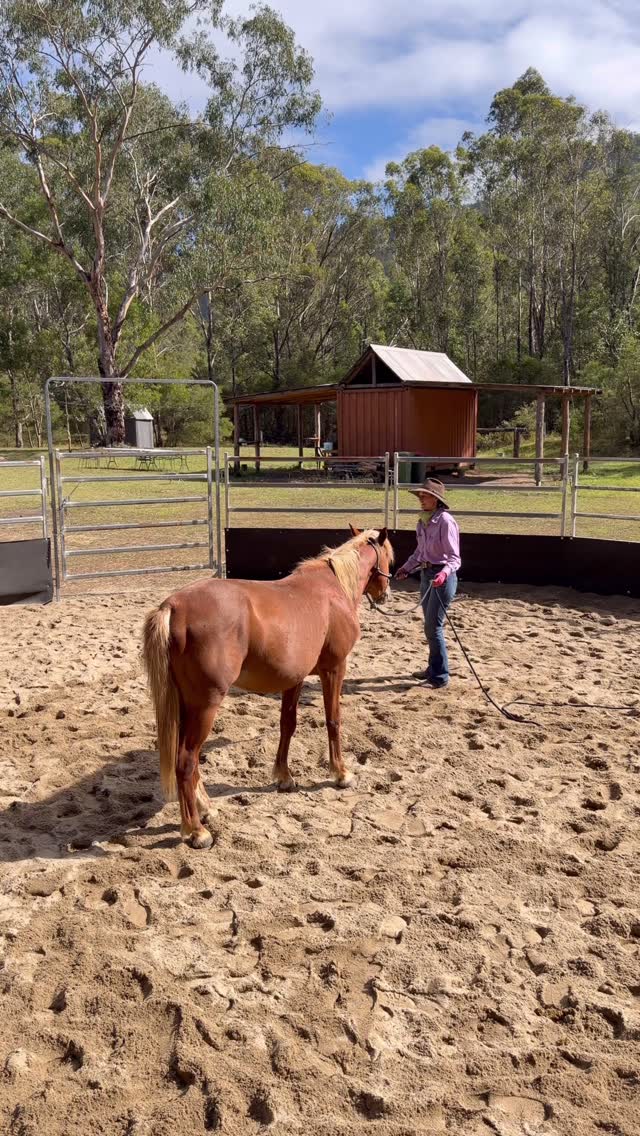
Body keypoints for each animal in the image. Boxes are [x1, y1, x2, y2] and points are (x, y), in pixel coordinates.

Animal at [142, 526, 394, 848]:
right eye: (389, 556)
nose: (385, 593)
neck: (333, 589)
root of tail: (173, 607)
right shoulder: (334, 669)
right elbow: (333, 721)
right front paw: (341, 773)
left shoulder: (295, 679)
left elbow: (288, 724)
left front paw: (284, 777)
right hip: (205, 705)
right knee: (186, 760)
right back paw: (196, 830)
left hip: (187, 704)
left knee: (189, 758)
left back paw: (206, 808)